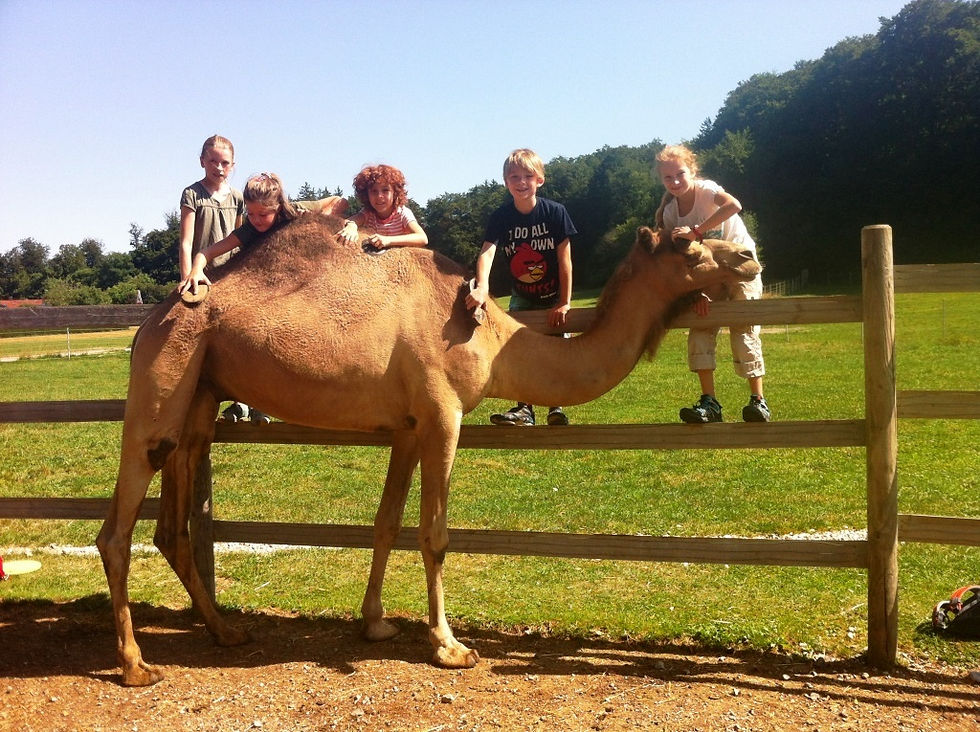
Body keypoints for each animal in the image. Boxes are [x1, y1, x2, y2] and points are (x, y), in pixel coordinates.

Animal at [96, 214, 760, 686]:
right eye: (687, 245)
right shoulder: (444, 415)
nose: (748, 255)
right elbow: (435, 534)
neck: (491, 336)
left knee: (173, 521)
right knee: (117, 528)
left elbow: (387, 522)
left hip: (200, 396)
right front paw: (450, 646)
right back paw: (135, 664)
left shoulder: (409, 426)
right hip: (164, 377)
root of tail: (147, 323)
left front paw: (376, 623)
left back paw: (226, 633)